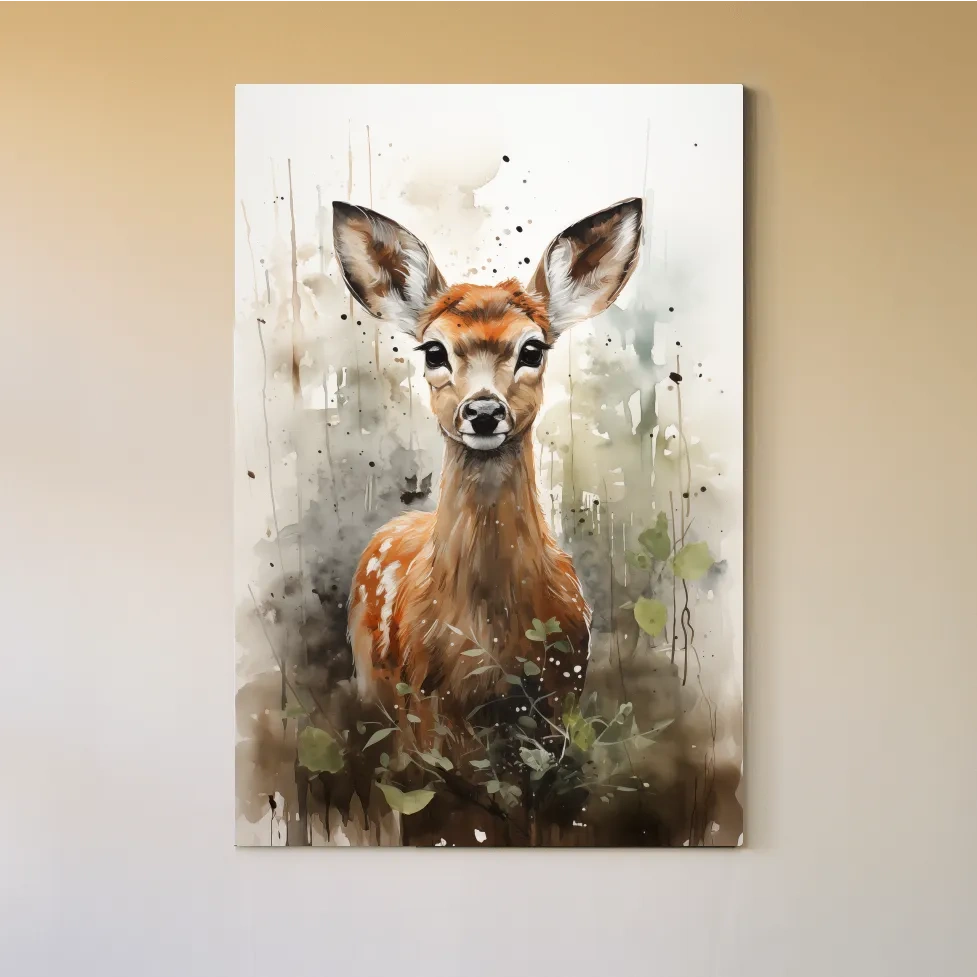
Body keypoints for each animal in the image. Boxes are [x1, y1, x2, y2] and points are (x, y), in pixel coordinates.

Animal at [333, 197, 642, 724]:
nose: (482, 411)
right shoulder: (426, 705)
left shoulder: (564, 691)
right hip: (374, 685)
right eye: (433, 349)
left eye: (532, 348)